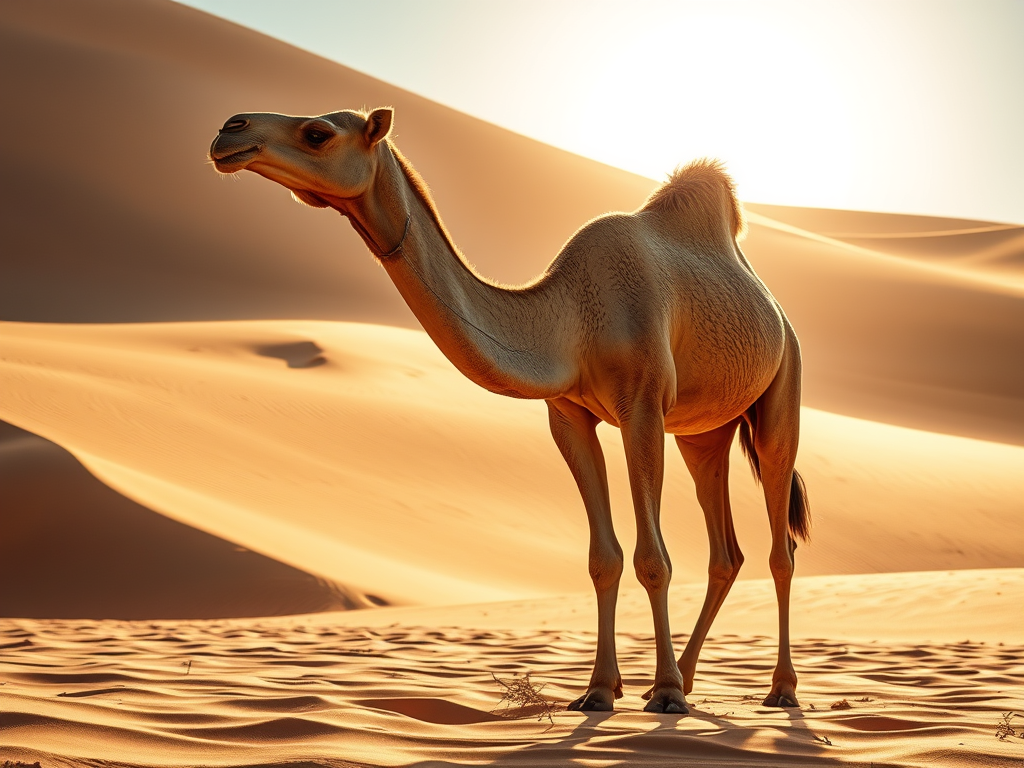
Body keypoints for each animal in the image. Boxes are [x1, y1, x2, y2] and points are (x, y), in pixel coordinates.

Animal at [209, 107, 810, 714]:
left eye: (318, 133)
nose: (230, 130)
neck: (570, 318)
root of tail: (780, 313)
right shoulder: (568, 415)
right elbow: (604, 558)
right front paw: (599, 690)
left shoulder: (642, 405)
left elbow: (652, 558)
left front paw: (663, 695)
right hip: (702, 431)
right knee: (725, 551)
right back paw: (688, 676)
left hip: (782, 387)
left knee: (780, 546)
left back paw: (775, 688)